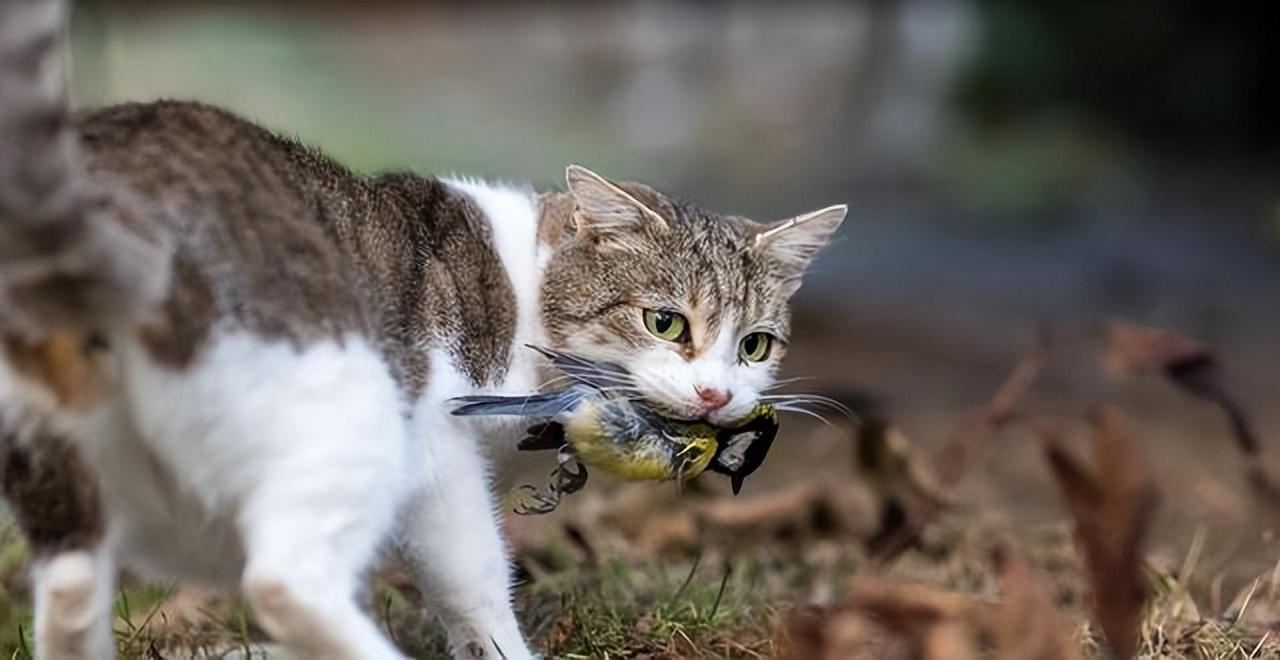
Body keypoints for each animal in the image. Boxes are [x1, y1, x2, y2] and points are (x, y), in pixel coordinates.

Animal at [2, 2, 849, 654]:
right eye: (665, 322)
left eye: (755, 345)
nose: (716, 397)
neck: (523, 281)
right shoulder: (439, 449)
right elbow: (472, 582)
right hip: (354, 415)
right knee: (283, 581)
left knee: (71, 592)